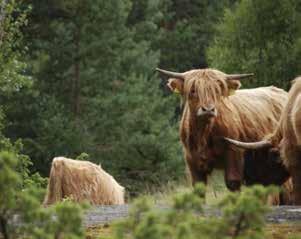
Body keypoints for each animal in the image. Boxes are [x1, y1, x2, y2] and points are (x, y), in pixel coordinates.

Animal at [156, 68, 288, 191]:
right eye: (193, 90)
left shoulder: (233, 153)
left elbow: (232, 182)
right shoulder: (191, 160)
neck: (204, 133)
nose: (208, 109)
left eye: (217, 90)